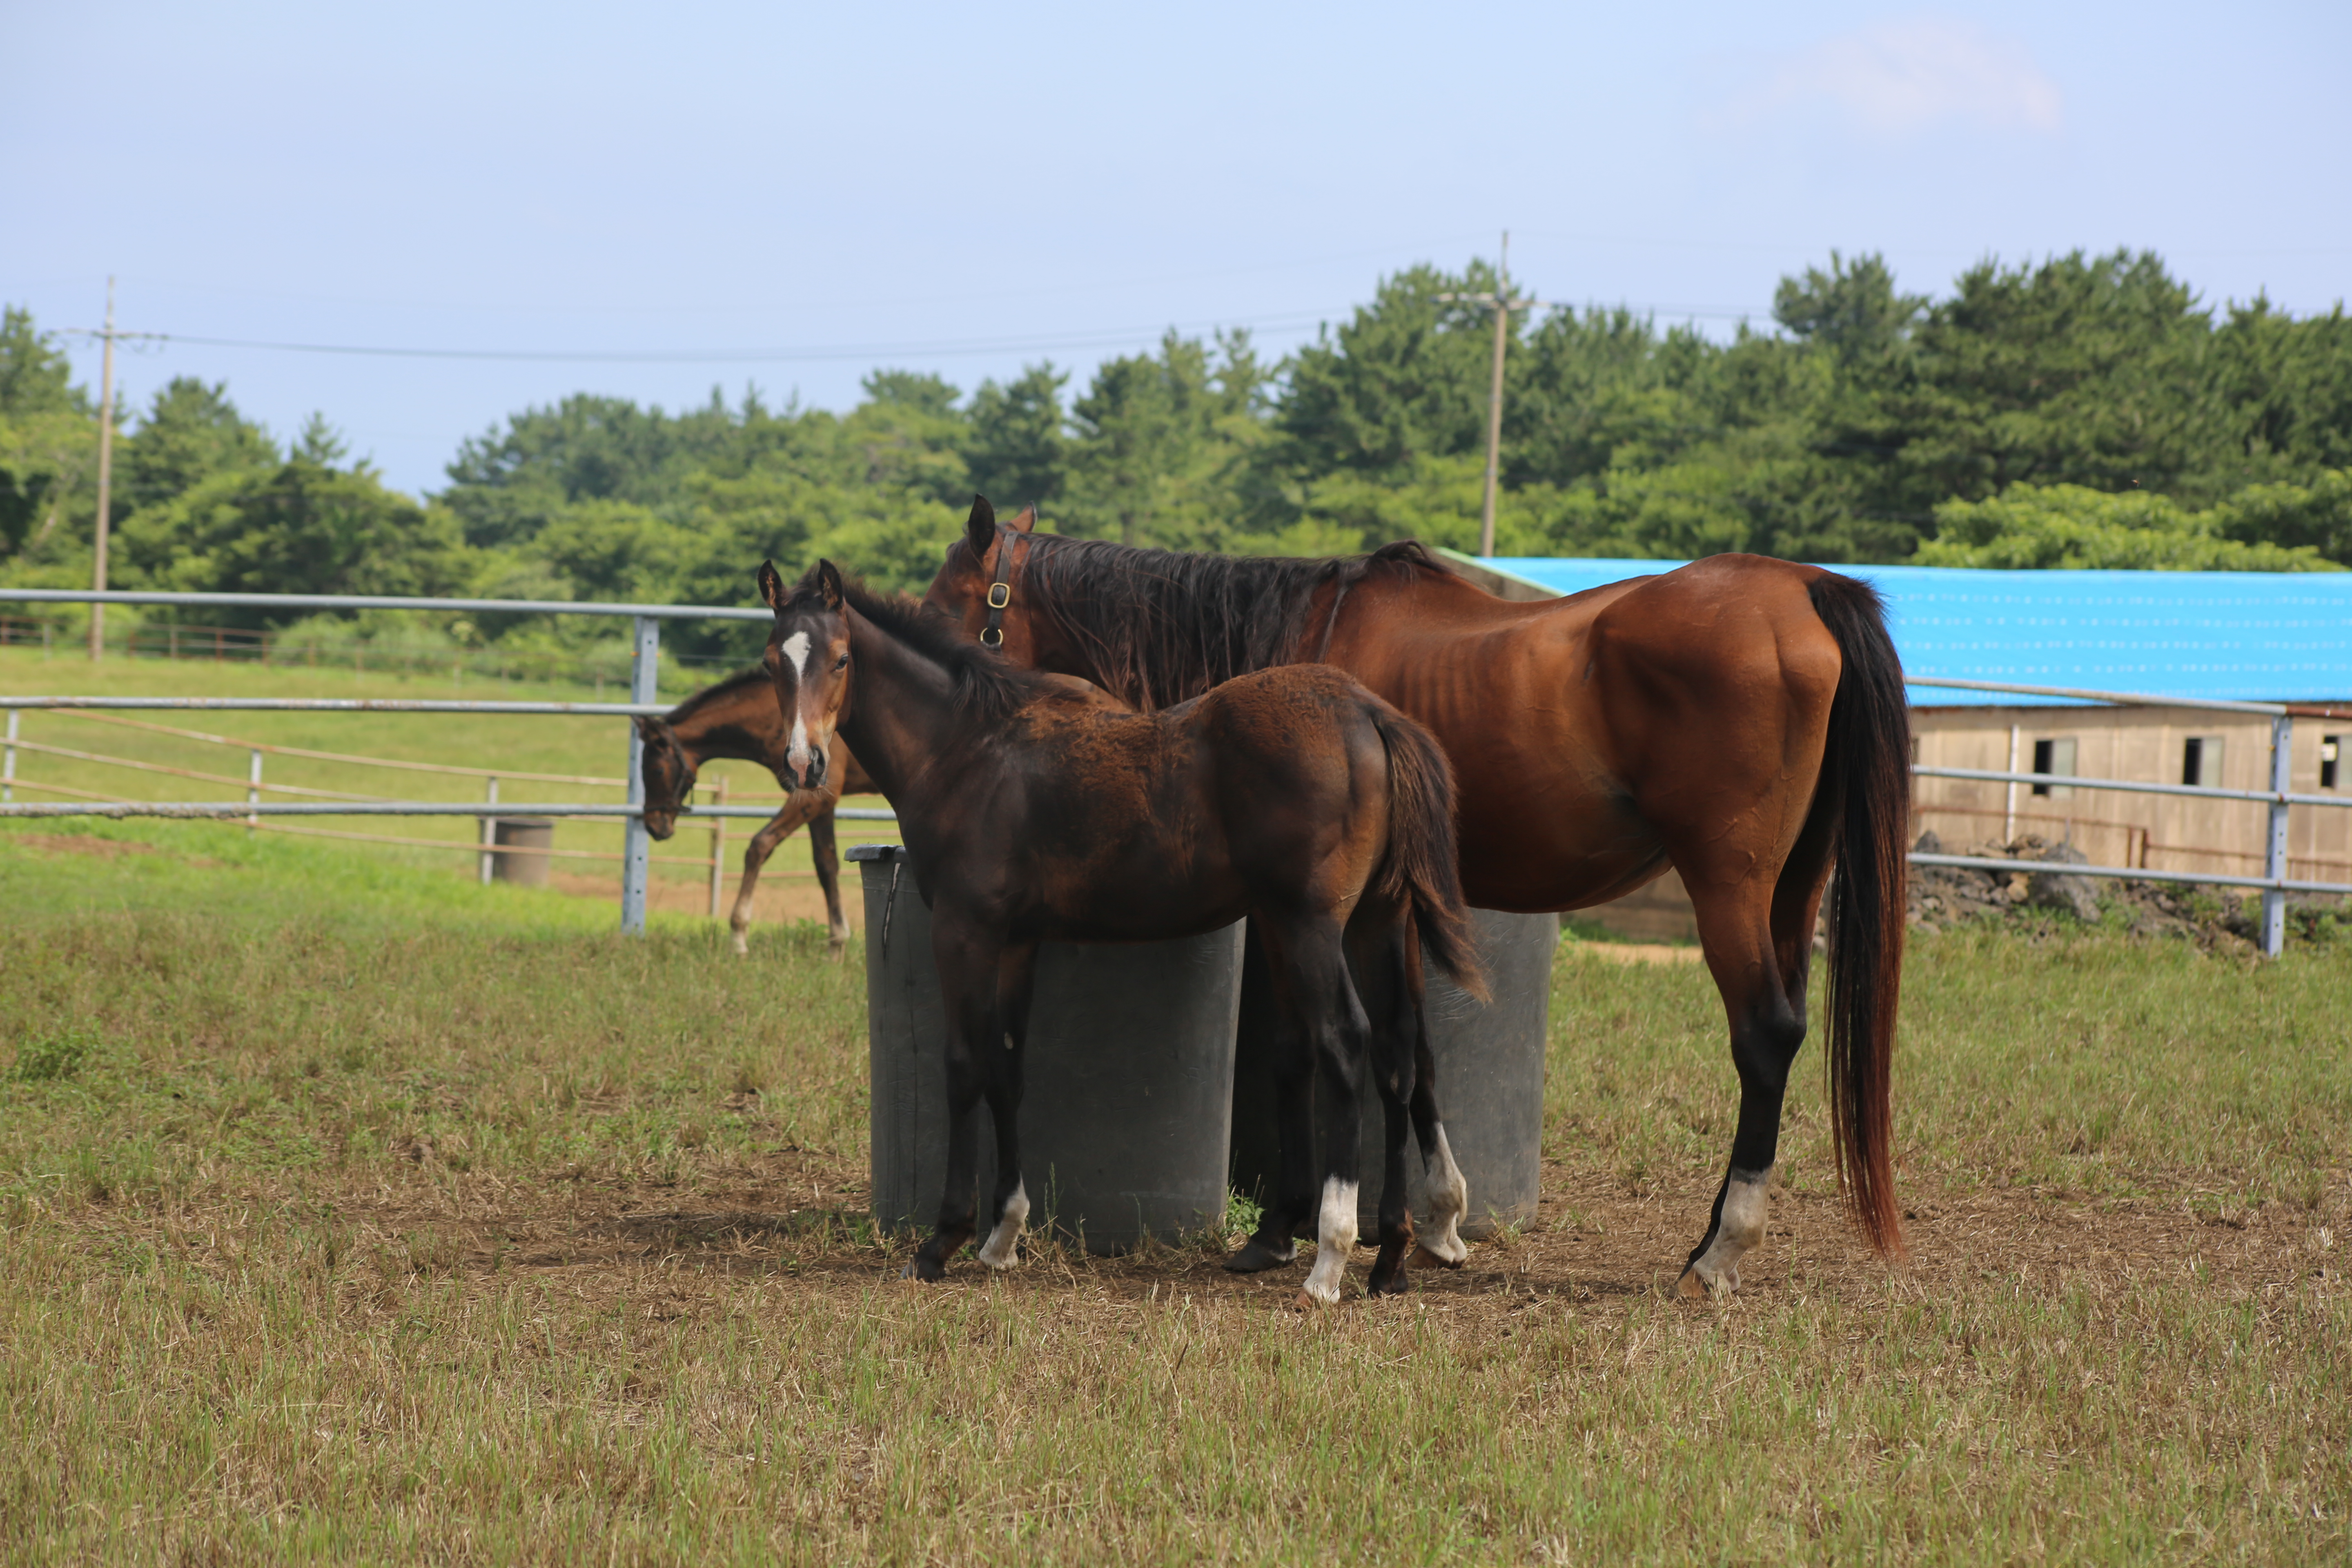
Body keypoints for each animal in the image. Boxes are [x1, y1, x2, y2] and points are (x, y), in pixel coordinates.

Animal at [630, 668, 880, 949]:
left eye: (657, 770)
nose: (654, 825)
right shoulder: (823, 802)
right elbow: (826, 864)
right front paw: (837, 944)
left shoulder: (812, 799)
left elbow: (759, 845)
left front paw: (738, 935)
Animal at [762, 557, 1477, 1307]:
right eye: (771, 663)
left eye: (842, 659)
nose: (805, 763)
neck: (967, 747)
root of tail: (1368, 711)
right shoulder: (1016, 939)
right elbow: (1007, 1067)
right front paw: (1003, 1236)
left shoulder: (963, 929)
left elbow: (963, 1067)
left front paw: (942, 1241)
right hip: (1376, 919)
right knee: (1399, 1051)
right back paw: (1391, 1256)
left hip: (1311, 923)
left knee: (1345, 1042)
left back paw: (1331, 1259)